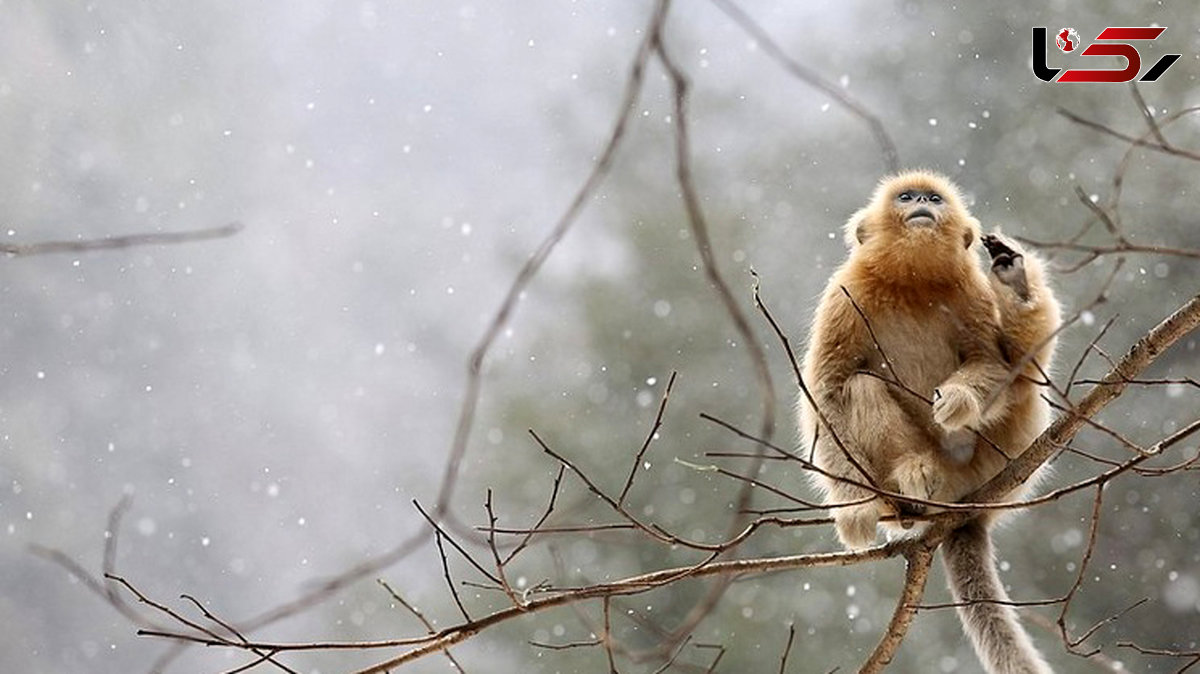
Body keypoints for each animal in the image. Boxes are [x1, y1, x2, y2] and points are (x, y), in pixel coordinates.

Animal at [801, 171, 1056, 671]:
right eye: (906, 197)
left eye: (933, 198)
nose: (921, 201)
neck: (912, 282)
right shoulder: (844, 295)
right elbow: (827, 390)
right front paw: (854, 506)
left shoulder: (971, 292)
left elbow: (992, 363)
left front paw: (955, 401)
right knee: (860, 386)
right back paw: (915, 476)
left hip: (1006, 449)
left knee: (1023, 378)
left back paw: (1017, 287)